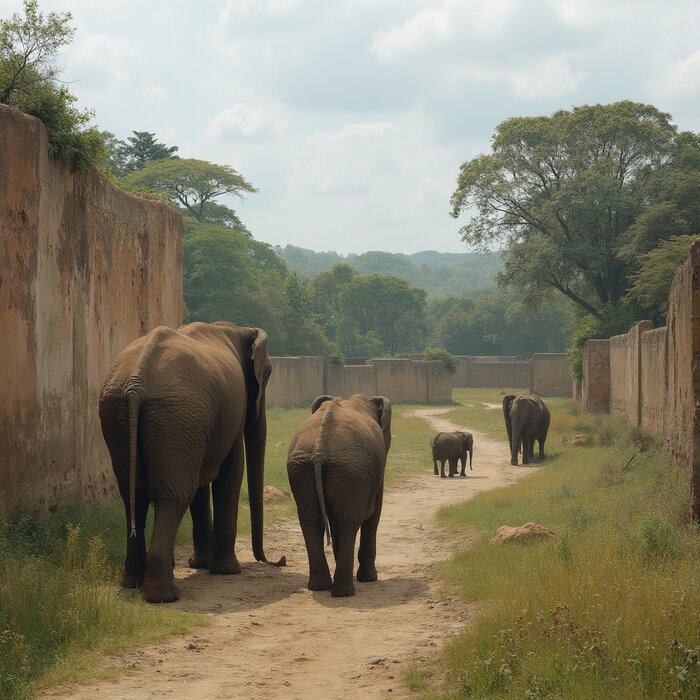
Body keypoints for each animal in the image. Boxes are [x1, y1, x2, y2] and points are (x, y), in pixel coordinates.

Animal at [99, 322, 284, 600]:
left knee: (134, 496)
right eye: (269, 374)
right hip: (175, 417)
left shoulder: (200, 429)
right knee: (173, 495)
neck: (239, 329)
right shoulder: (230, 413)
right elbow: (230, 471)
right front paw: (227, 571)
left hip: (123, 415)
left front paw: (202, 565)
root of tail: (136, 384)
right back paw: (164, 595)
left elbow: (202, 479)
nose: (279, 560)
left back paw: (132, 583)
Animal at [286, 394, 394, 596]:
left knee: (311, 519)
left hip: (305, 468)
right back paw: (344, 592)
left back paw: (320, 587)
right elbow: (374, 513)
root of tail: (319, 449)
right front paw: (369, 579)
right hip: (351, 471)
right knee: (347, 521)